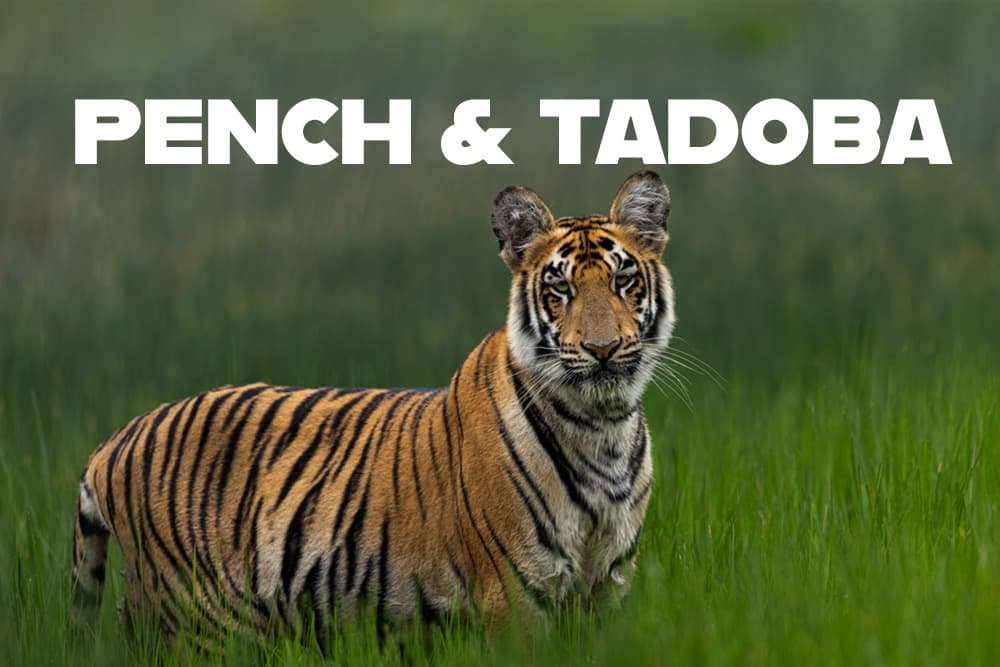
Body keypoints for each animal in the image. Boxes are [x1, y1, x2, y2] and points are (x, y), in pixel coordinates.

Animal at [70, 170, 676, 649]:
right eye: (560, 290)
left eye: (624, 281)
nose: (602, 349)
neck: (602, 428)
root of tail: (114, 442)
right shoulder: (514, 593)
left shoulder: (605, 590)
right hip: (204, 623)